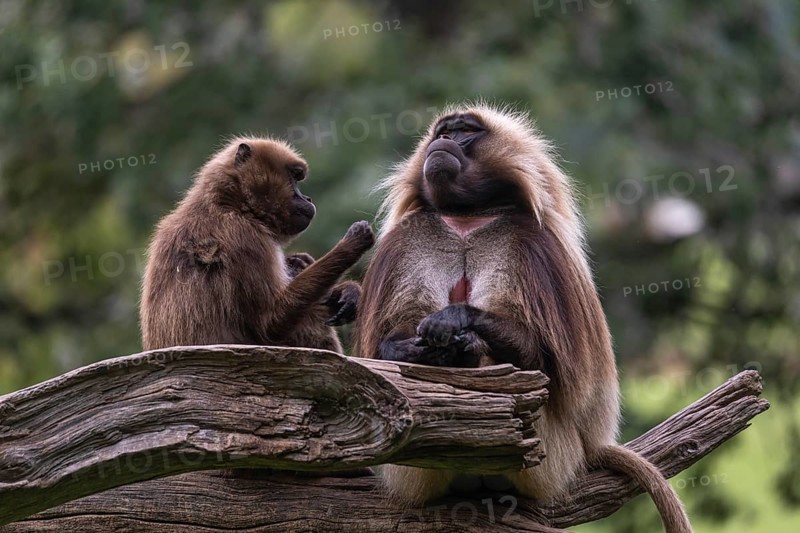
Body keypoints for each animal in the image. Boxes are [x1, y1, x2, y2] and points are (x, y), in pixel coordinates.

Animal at [140, 136, 374, 353]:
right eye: (293, 177)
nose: (307, 198)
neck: (230, 204)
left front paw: (346, 291)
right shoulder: (246, 236)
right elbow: (270, 323)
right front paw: (351, 245)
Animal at [353, 105, 692, 533]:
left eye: (465, 131)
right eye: (443, 132)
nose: (440, 143)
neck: (467, 219)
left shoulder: (534, 245)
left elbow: (545, 365)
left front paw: (456, 324)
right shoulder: (406, 241)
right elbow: (386, 358)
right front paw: (421, 349)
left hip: (554, 462)